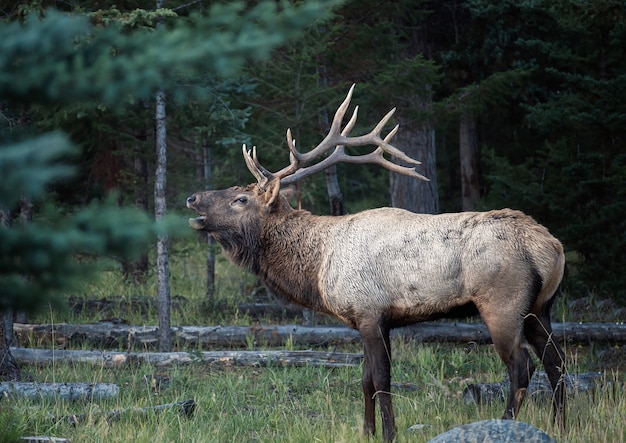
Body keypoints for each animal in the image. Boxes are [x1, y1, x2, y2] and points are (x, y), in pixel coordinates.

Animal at [185, 85, 564, 442]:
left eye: (240, 198)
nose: (192, 197)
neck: (317, 269)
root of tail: (550, 246)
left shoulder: (370, 312)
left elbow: (381, 380)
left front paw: (389, 433)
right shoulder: (368, 319)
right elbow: (365, 380)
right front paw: (366, 431)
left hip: (502, 303)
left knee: (522, 366)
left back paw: (506, 423)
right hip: (539, 306)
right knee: (556, 361)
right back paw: (558, 423)